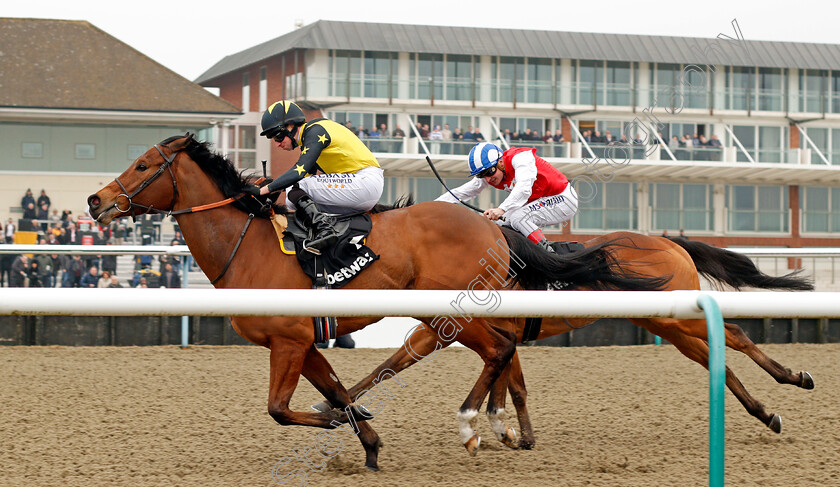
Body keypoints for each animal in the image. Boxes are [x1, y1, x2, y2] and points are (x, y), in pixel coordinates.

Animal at [87, 135, 668, 470]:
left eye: (143, 164)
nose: (95, 201)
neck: (247, 247)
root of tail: (491, 225)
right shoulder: (304, 341)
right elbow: (337, 389)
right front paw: (366, 442)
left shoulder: (287, 340)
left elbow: (280, 409)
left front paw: (339, 425)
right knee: (500, 349)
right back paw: (501, 426)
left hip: (446, 309)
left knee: (500, 349)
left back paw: (472, 426)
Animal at [324, 234, 816, 452]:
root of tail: (669, 241)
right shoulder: (474, 332)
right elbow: (508, 383)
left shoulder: (476, 331)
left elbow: (500, 379)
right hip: (667, 325)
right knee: (720, 359)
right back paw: (766, 412)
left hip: (675, 316)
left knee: (735, 335)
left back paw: (795, 378)